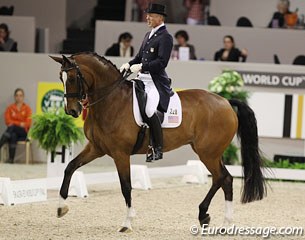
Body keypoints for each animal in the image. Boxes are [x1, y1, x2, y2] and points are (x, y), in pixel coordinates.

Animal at [49, 52, 264, 232]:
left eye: (73, 78)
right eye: (61, 78)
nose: (72, 111)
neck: (110, 101)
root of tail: (226, 101)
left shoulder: (120, 153)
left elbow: (126, 186)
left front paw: (127, 222)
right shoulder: (96, 148)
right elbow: (70, 167)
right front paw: (61, 207)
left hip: (208, 153)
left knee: (222, 178)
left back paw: (217, 219)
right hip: (210, 152)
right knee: (224, 179)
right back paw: (212, 219)